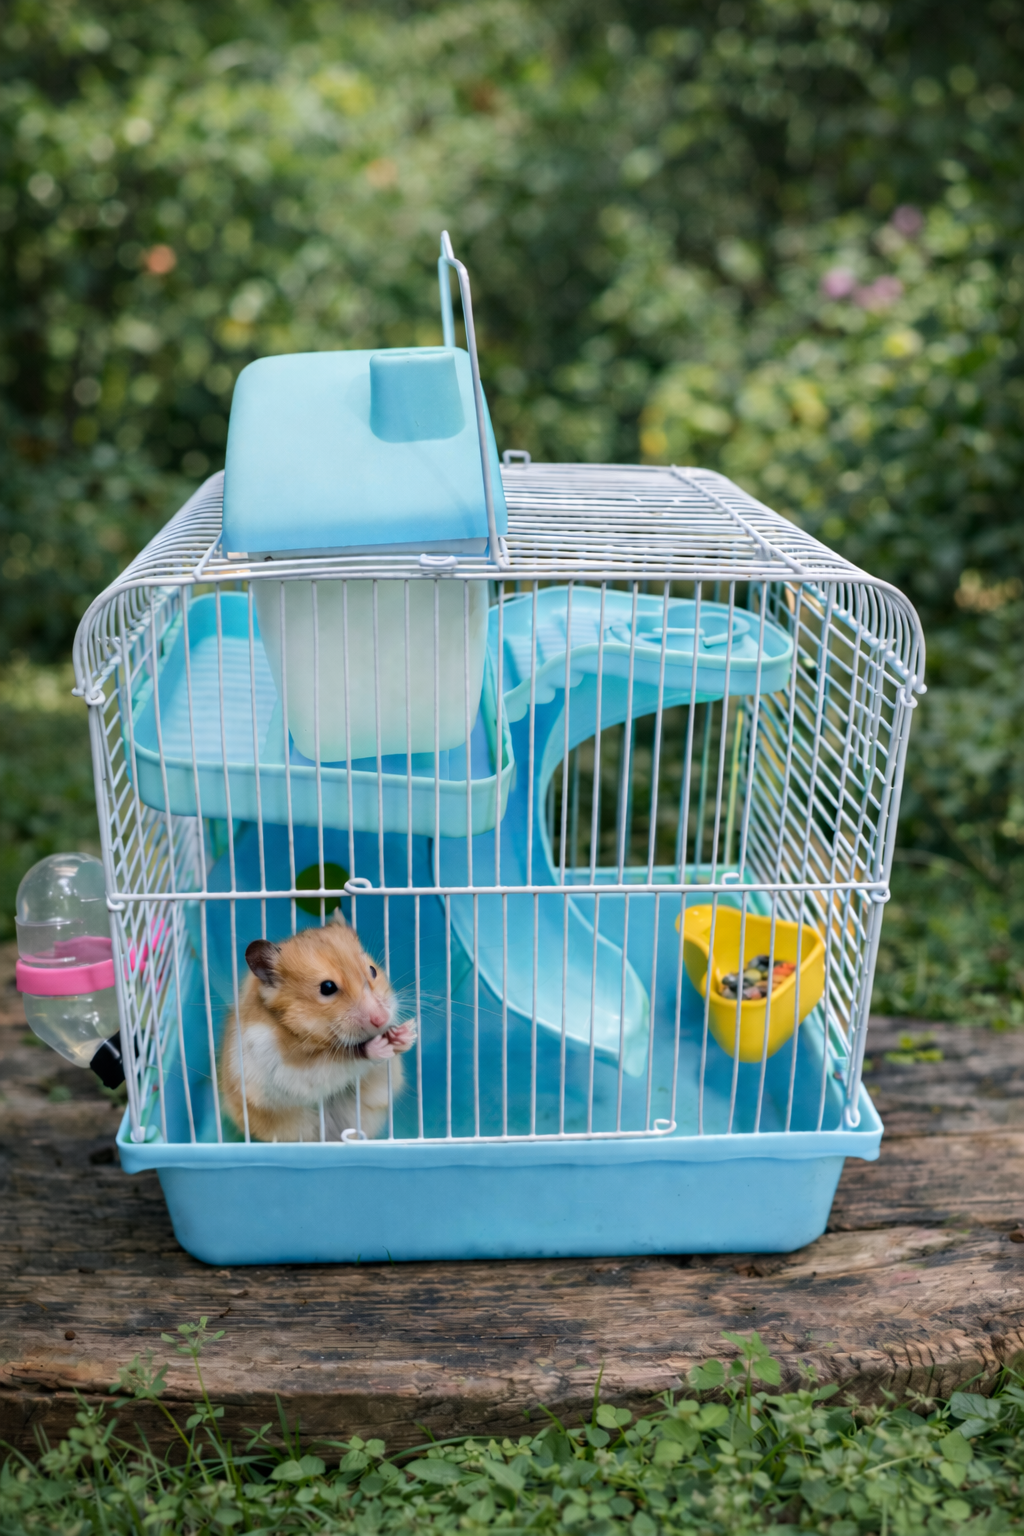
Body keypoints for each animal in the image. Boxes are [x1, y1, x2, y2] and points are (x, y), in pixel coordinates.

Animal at [219, 909, 416, 1143]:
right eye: (327, 987)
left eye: (373, 970)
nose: (382, 1019)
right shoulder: (290, 1068)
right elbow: (347, 1058)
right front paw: (377, 1046)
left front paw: (406, 1033)